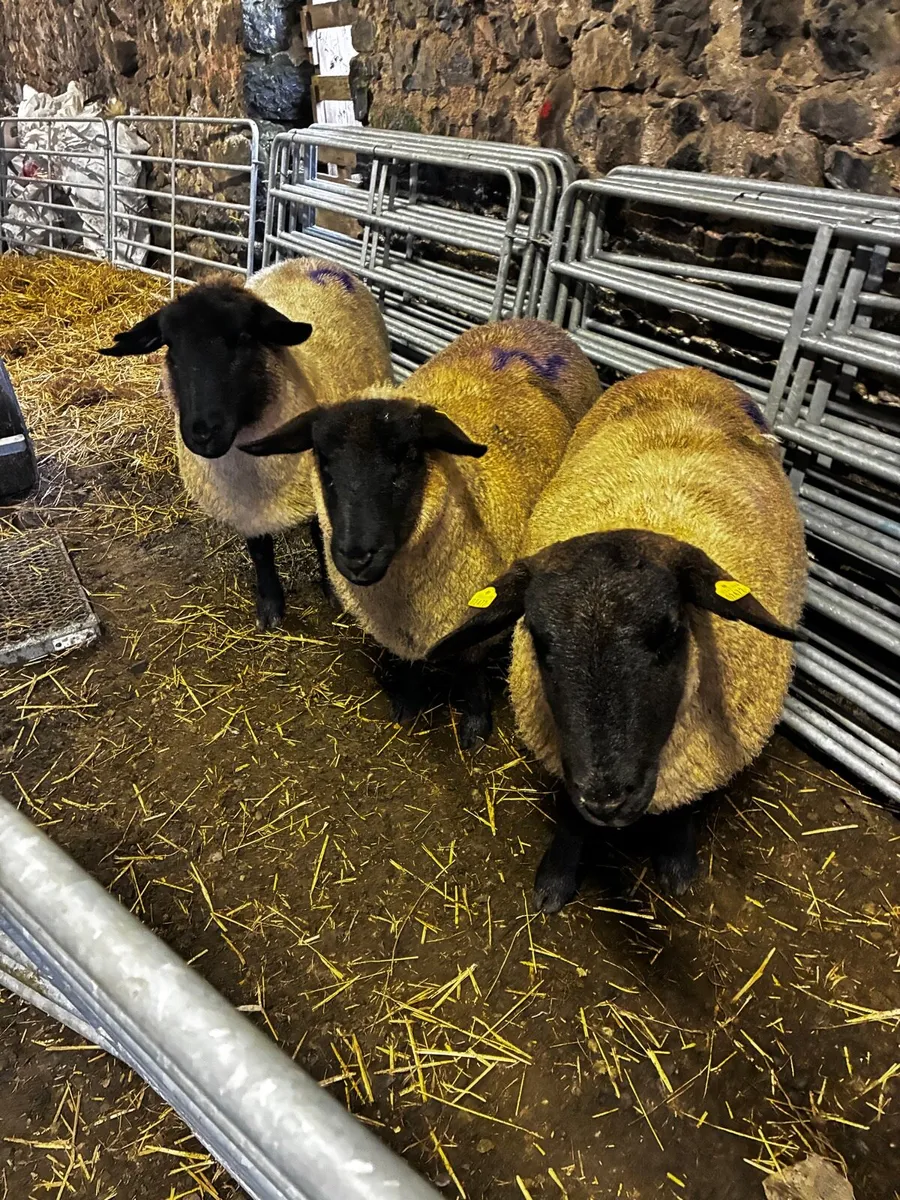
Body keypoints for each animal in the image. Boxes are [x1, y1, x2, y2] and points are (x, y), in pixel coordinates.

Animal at [100, 258, 393, 629]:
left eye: (242, 339)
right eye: (171, 348)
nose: (203, 431)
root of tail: (312, 261)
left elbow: (319, 534)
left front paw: (332, 591)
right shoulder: (245, 505)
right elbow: (259, 550)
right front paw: (270, 606)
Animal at [241, 319, 601, 744]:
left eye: (408, 459)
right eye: (323, 462)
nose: (355, 556)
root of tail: (537, 323)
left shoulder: (473, 609)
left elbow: (469, 668)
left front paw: (475, 724)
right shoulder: (403, 621)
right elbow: (408, 662)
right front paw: (409, 703)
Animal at [429, 367, 808, 911]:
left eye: (670, 632)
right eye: (539, 641)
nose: (606, 798)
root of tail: (683, 370)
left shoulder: (702, 756)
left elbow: (684, 810)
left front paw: (676, 864)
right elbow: (570, 817)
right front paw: (555, 879)